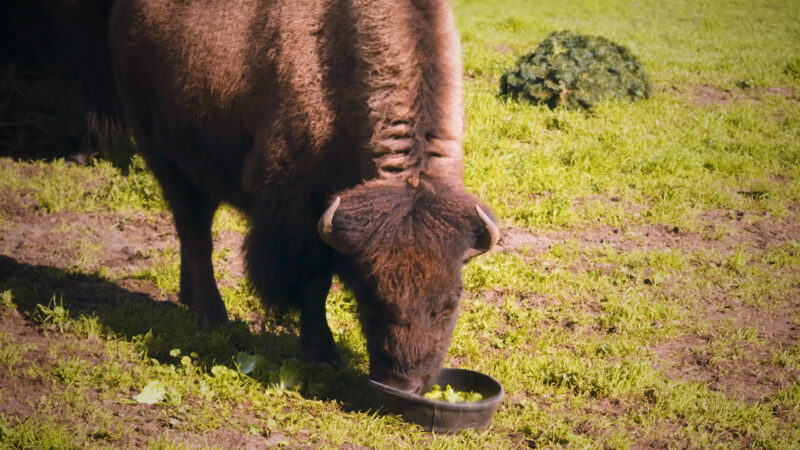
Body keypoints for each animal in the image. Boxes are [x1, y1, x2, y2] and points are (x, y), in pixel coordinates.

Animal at [106, 0, 494, 394]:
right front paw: (323, 354)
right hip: (167, 159)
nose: (402, 384)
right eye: (368, 299)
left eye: (450, 303)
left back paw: (188, 298)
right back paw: (214, 317)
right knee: (196, 234)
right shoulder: (298, 214)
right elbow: (313, 284)